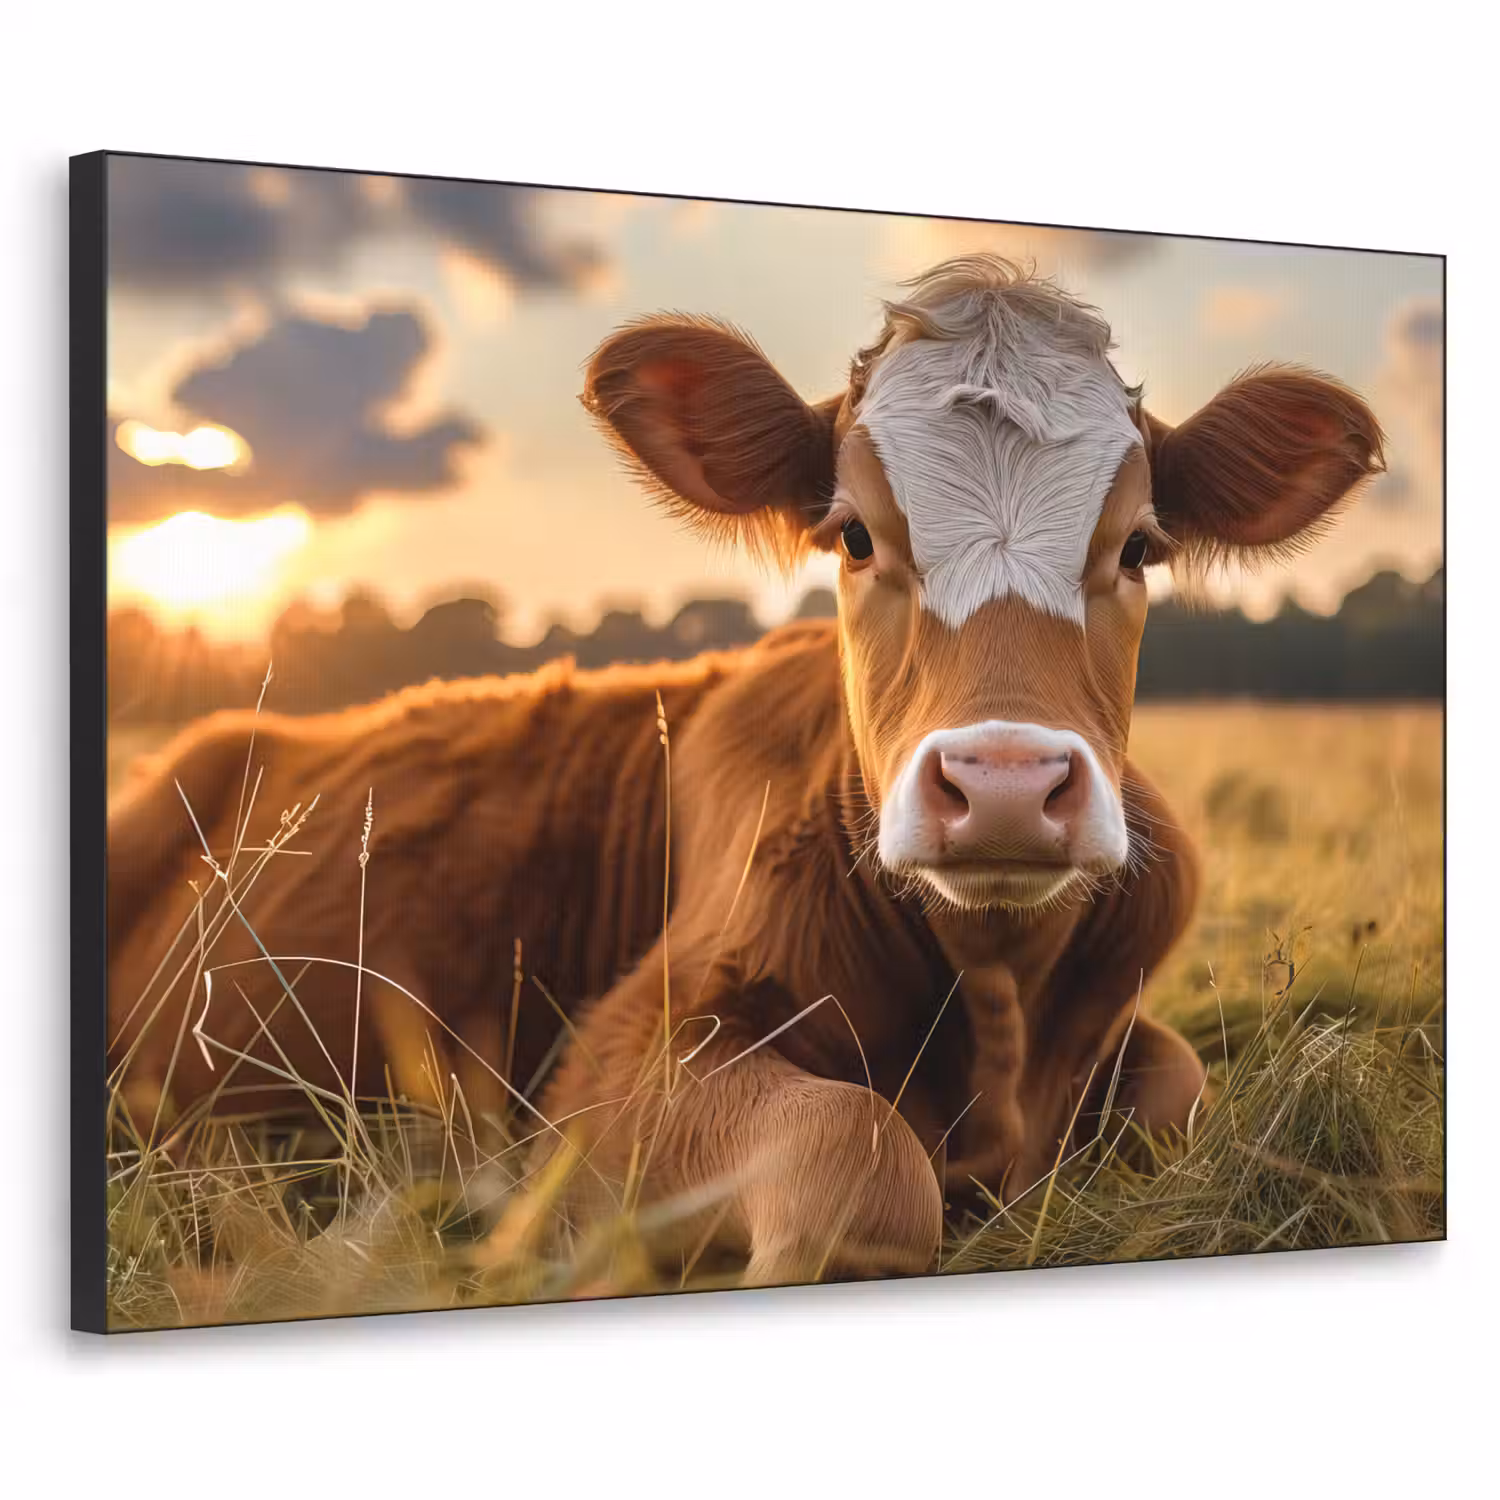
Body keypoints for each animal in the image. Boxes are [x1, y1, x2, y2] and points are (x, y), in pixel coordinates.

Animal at [106, 255, 1383, 1286]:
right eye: (854, 535)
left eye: (1139, 547)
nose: (1006, 785)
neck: (993, 997)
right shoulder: (613, 1062)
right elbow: (858, 1155)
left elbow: (1180, 1096)